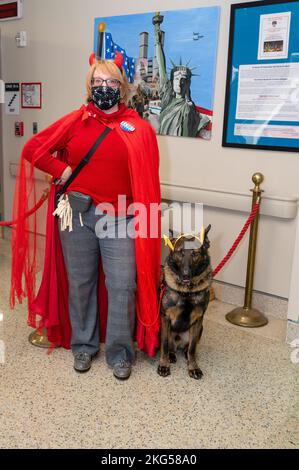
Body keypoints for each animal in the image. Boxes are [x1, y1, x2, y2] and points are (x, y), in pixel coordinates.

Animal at [158, 226, 212, 380]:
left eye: (195, 253)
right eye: (180, 252)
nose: (186, 275)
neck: (187, 292)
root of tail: (178, 342)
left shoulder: (198, 320)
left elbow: (193, 347)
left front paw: (193, 367)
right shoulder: (165, 318)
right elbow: (164, 345)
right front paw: (163, 365)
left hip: (199, 329)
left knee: (188, 348)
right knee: (170, 347)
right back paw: (171, 356)